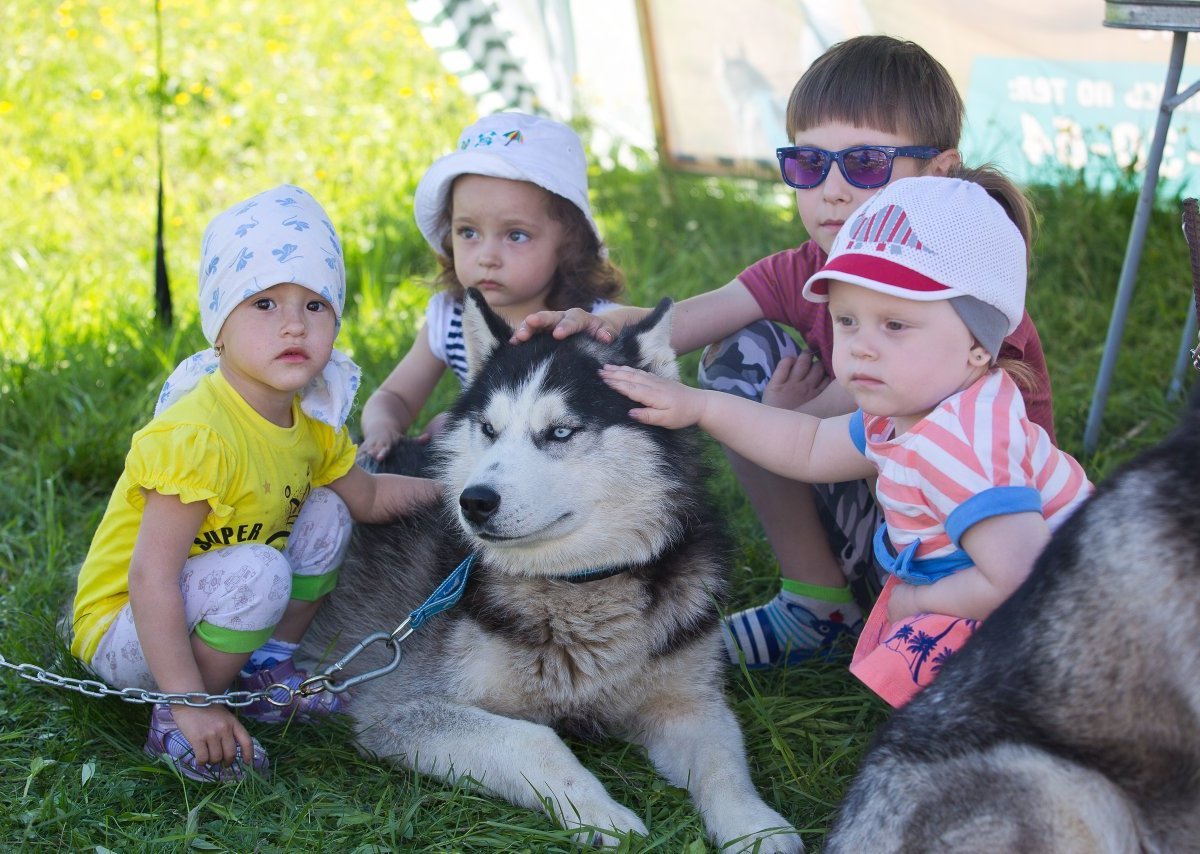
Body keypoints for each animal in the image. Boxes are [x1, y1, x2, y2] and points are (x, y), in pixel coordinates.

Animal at [304, 290, 801, 849]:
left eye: (560, 432)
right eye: (489, 430)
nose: (474, 501)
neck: (576, 585)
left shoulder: (689, 702)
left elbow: (724, 765)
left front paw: (756, 826)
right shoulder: (397, 708)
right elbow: (535, 740)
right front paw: (602, 815)